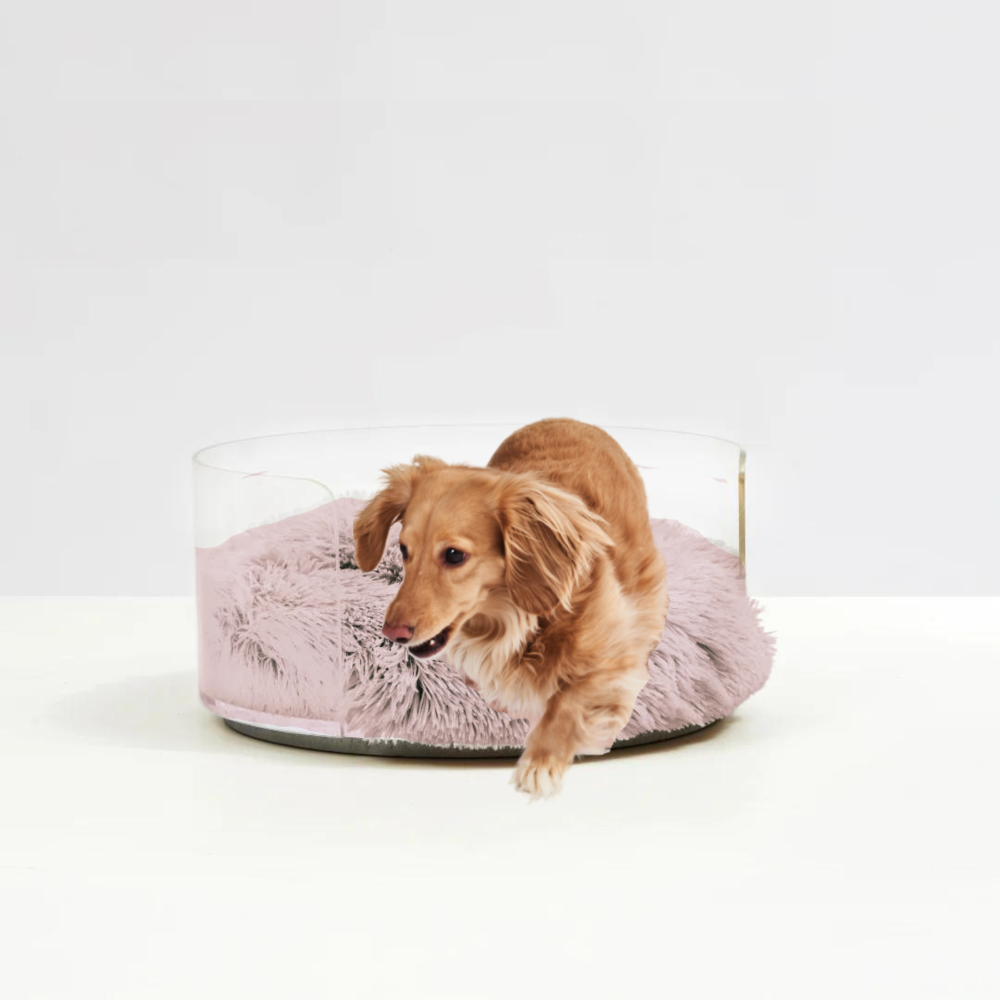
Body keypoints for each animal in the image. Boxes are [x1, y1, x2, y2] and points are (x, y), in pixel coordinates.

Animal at [354, 414, 672, 796]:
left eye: (454, 555)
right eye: (403, 549)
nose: (393, 632)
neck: (514, 621)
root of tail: (567, 420)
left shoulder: (617, 662)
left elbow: (566, 703)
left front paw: (540, 762)